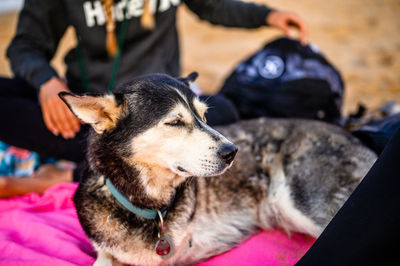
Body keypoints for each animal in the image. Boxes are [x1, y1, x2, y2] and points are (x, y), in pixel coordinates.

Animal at [58, 72, 376, 266]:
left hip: (305, 200)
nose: (232, 151)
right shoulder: (105, 250)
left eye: (204, 116)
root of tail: (354, 136)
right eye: (175, 122)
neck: (148, 206)